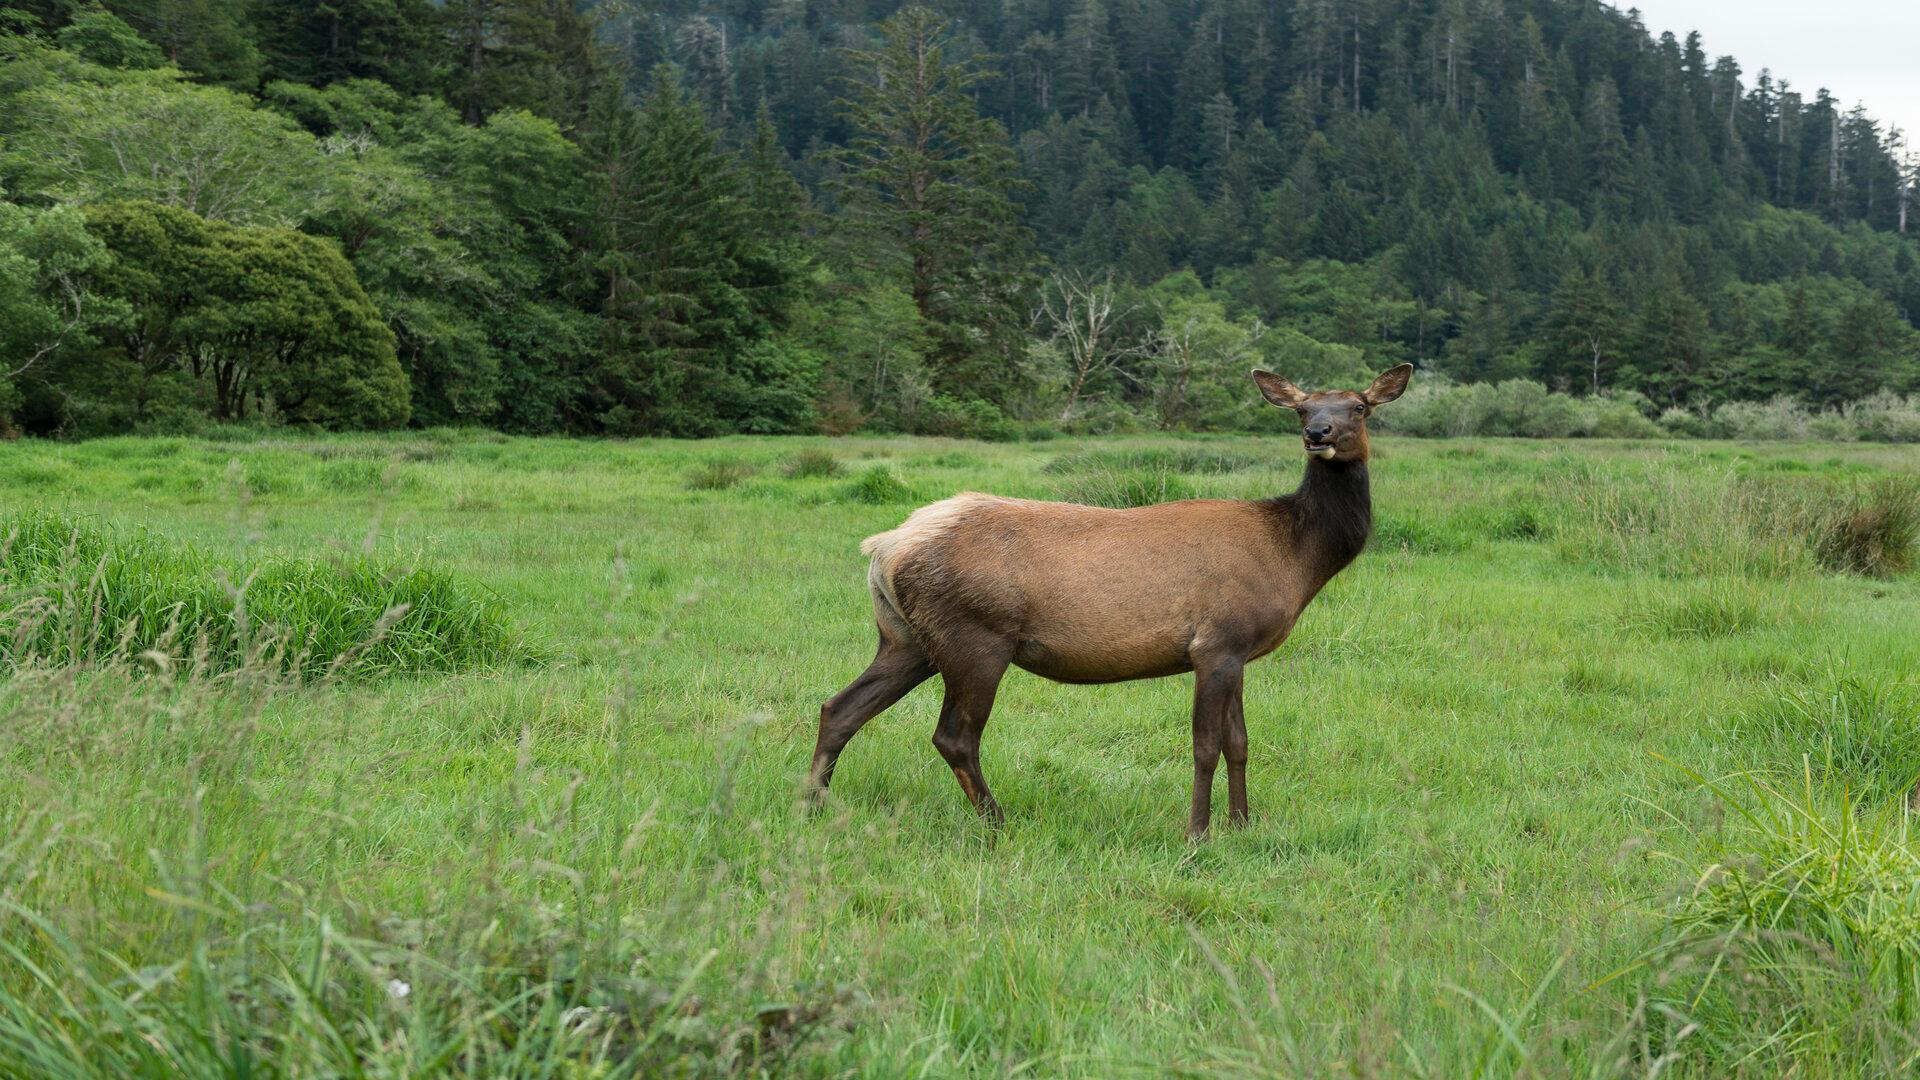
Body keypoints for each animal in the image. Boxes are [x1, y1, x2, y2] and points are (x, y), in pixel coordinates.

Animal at [806, 364, 1413, 838]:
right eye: (1301, 407)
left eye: (1359, 407)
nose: (1318, 432)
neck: (1293, 555)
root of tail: (883, 548)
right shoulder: (1214, 642)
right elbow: (1205, 745)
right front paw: (1197, 833)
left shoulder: (1239, 651)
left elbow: (1240, 742)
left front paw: (1242, 825)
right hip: (975, 635)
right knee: (954, 735)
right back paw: (999, 822)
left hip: (906, 636)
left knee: (840, 706)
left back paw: (812, 806)